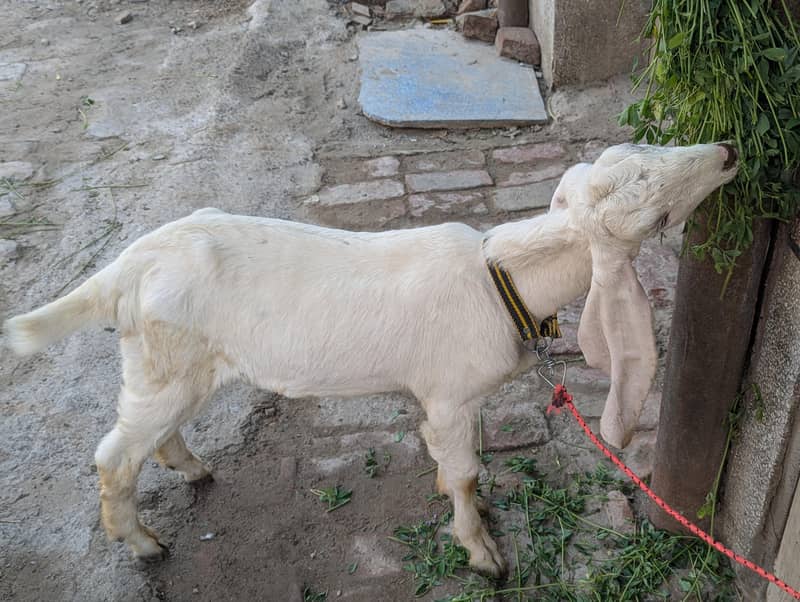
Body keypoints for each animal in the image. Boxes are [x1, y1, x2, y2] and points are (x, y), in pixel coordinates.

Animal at [4, 142, 738, 576]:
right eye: (653, 208)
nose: (729, 152)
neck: (504, 280)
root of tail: (128, 266)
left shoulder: (455, 398)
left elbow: (454, 456)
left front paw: (454, 497)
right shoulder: (447, 392)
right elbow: (466, 469)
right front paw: (481, 549)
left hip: (175, 363)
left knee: (153, 432)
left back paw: (191, 468)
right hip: (164, 357)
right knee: (113, 454)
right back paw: (143, 543)